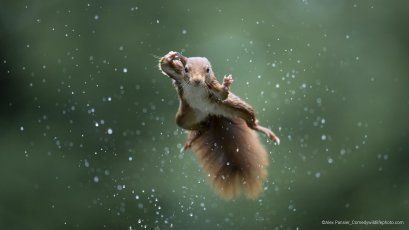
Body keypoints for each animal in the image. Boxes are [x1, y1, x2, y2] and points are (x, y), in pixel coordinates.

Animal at [158, 51, 278, 199]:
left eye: (208, 70)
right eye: (186, 69)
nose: (197, 80)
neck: (197, 87)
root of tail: (211, 114)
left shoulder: (213, 86)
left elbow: (222, 94)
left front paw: (226, 84)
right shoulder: (178, 75)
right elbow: (164, 65)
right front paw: (170, 57)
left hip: (235, 106)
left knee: (251, 122)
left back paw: (267, 132)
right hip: (185, 116)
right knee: (197, 126)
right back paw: (194, 136)